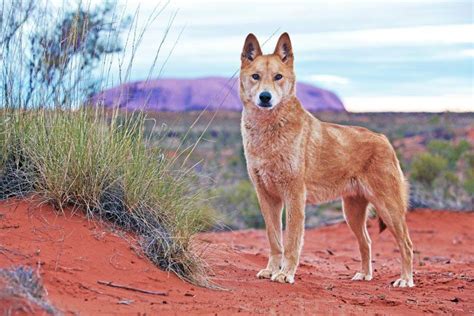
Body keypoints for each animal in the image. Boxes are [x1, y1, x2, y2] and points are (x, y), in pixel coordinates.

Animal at [239, 33, 412, 288]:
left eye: (278, 77)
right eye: (256, 77)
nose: (265, 97)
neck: (268, 132)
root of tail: (384, 139)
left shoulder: (294, 196)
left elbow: (291, 242)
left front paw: (286, 274)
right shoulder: (267, 197)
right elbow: (274, 240)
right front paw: (270, 270)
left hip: (389, 208)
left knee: (407, 244)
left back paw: (406, 279)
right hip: (352, 213)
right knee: (367, 242)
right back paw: (364, 275)